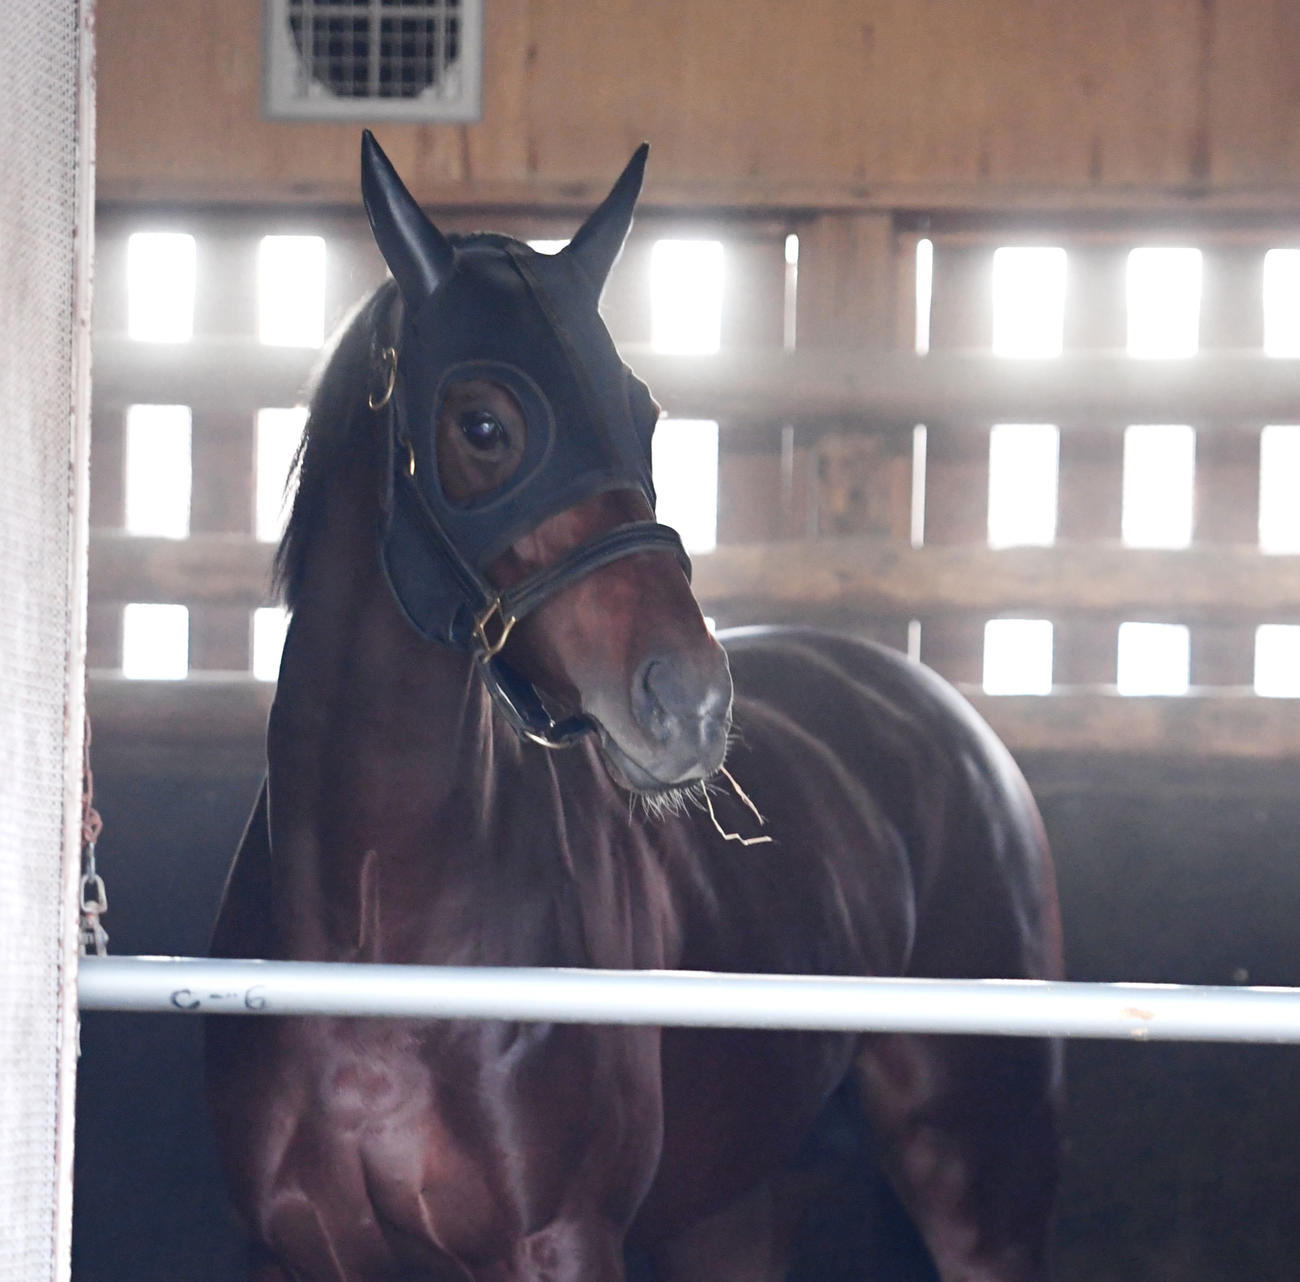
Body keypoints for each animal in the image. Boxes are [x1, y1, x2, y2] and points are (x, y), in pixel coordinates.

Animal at [205, 131, 1063, 1282]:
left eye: (643, 416)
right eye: (486, 423)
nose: (688, 701)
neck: (371, 926)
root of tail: (950, 728)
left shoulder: (561, 1242)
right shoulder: (293, 1253)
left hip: (982, 1183)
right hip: (736, 1210)